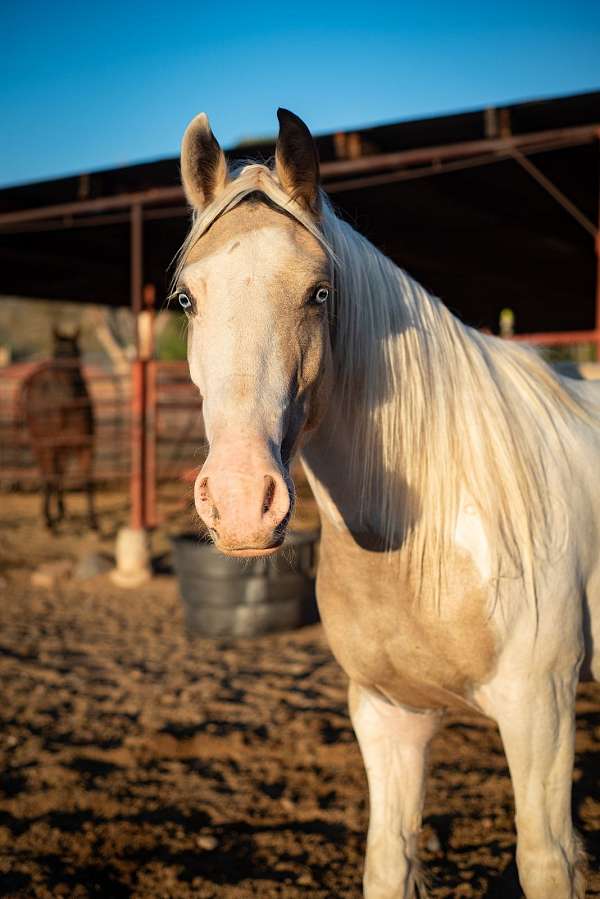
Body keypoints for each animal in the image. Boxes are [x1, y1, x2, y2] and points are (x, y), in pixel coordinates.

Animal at [175, 109, 600, 896]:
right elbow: (388, 862)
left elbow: (545, 859)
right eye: (187, 299)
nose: (243, 501)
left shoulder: (542, 709)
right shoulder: (388, 715)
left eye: (319, 293)